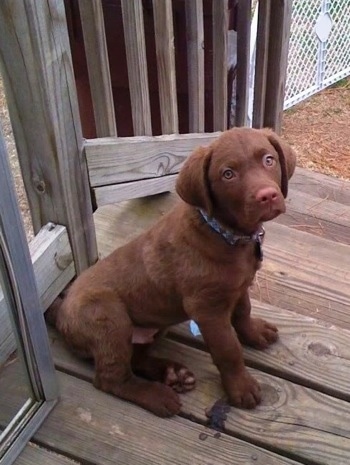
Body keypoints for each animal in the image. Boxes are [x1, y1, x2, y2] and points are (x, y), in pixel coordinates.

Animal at [48, 127, 296, 416]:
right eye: (228, 174)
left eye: (269, 160)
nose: (267, 195)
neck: (225, 233)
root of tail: (61, 312)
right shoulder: (208, 310)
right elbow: (228, 350)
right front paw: (241, 387)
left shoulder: (238, 286)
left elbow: (243, 312)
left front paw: (254, 333)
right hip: (108, 317)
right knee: (111, 378)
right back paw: (157, 396)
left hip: (153, 326)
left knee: (136, 357)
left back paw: (172, 373)